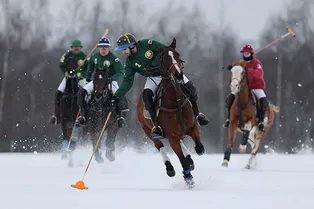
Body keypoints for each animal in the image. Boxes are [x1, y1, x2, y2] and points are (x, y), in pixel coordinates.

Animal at [136, 37, 205, 188]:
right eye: (164, 58)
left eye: (177, 55)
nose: (178, 75)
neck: (175, 100)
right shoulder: (172, 137)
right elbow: (181, 160)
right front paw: (188, 178)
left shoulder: (192, 127)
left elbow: (199, 148)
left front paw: (190, 164)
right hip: (147, 130)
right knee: (159, 145)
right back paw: (170, 168)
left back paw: (190, 159)